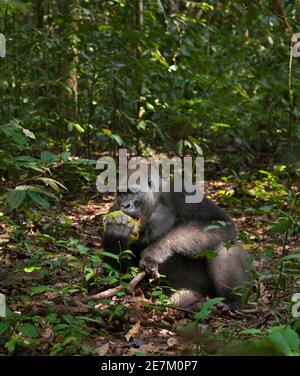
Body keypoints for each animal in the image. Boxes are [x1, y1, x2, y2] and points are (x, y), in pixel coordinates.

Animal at [103, 167, 251, 312]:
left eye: (132, 192)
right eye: (121, 194)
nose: (125, 205)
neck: (156, 203)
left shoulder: (181, 191)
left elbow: (219, 222)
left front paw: (154, 252)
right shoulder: (114, 208)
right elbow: (124, 272)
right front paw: (117, 231)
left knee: (224, 247)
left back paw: (232, 302)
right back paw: (193, 302)